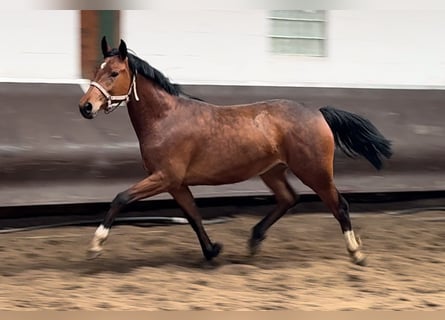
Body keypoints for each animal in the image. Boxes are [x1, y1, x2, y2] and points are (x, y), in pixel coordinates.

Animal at [78, 37, 390, 266]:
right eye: (95, 70)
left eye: (114, 73)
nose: (86, 107)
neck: (165, 118)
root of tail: (318, 113)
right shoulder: (176, 184)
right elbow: (194, 215)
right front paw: (212, 251)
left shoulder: (164, 177)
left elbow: (121, 198)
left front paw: (95, 245)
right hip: (273, 171)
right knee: (289, 198)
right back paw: (254, 240)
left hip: (315, 171)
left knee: (339, 205)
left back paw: (356, 253)